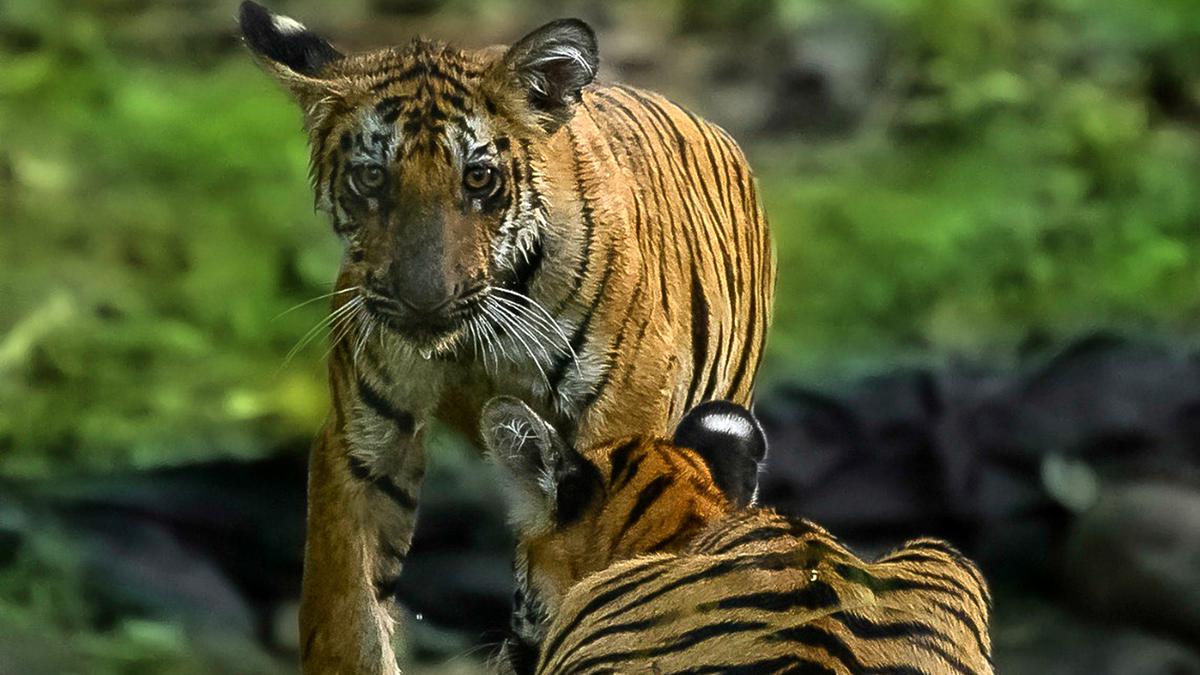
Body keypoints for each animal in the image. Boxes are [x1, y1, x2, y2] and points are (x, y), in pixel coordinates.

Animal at [235, 2, 777, 667]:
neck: (473, 337)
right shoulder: (361, 443)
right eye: (371, 178)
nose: (425, 299)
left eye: (478, 178)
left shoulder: (623, 431)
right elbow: (348, 612)